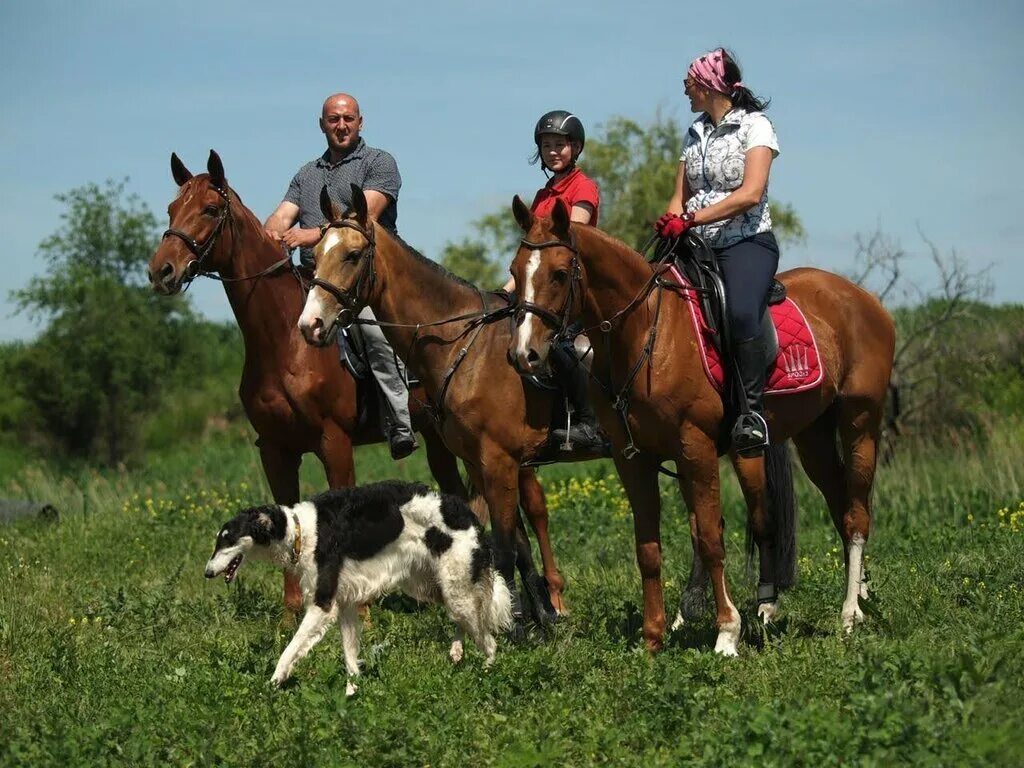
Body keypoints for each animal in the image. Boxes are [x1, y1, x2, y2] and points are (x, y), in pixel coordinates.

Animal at [147, 151, 548, 614]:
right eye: (172, 209)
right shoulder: (275, 450)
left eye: (210, 210)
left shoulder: (333, 442)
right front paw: (291, 610)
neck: (286, 343)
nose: (161, 271)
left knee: (534, 508)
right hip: (443, 442)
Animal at [203, 481, 512, 692]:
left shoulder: (323, 604)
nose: (207, 572)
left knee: (489, 642)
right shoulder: (347, 605)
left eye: (228, 539)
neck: (300, 531)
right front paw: (352, 693)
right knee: (465, 622)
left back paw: (486, 673)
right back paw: (457, 651)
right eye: (219, 539)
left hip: (456, 588)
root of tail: (469, 515)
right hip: (434, 586)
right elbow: (350, 659)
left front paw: (273, 682)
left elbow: (289, 650)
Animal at [507, 198, 892, 655]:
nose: (524, 355)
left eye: (560, 273)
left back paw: (849, 614)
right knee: (840, 506)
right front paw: (653, 637)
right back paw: (854, 596)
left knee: (857, 515)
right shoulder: (632, 459)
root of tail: (863, 298)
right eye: (515, 271)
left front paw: (726, 633)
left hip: (859, 423)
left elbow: (709, 537)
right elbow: (648, 547)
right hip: (812, 434)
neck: (645, 333)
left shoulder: (697, 448)